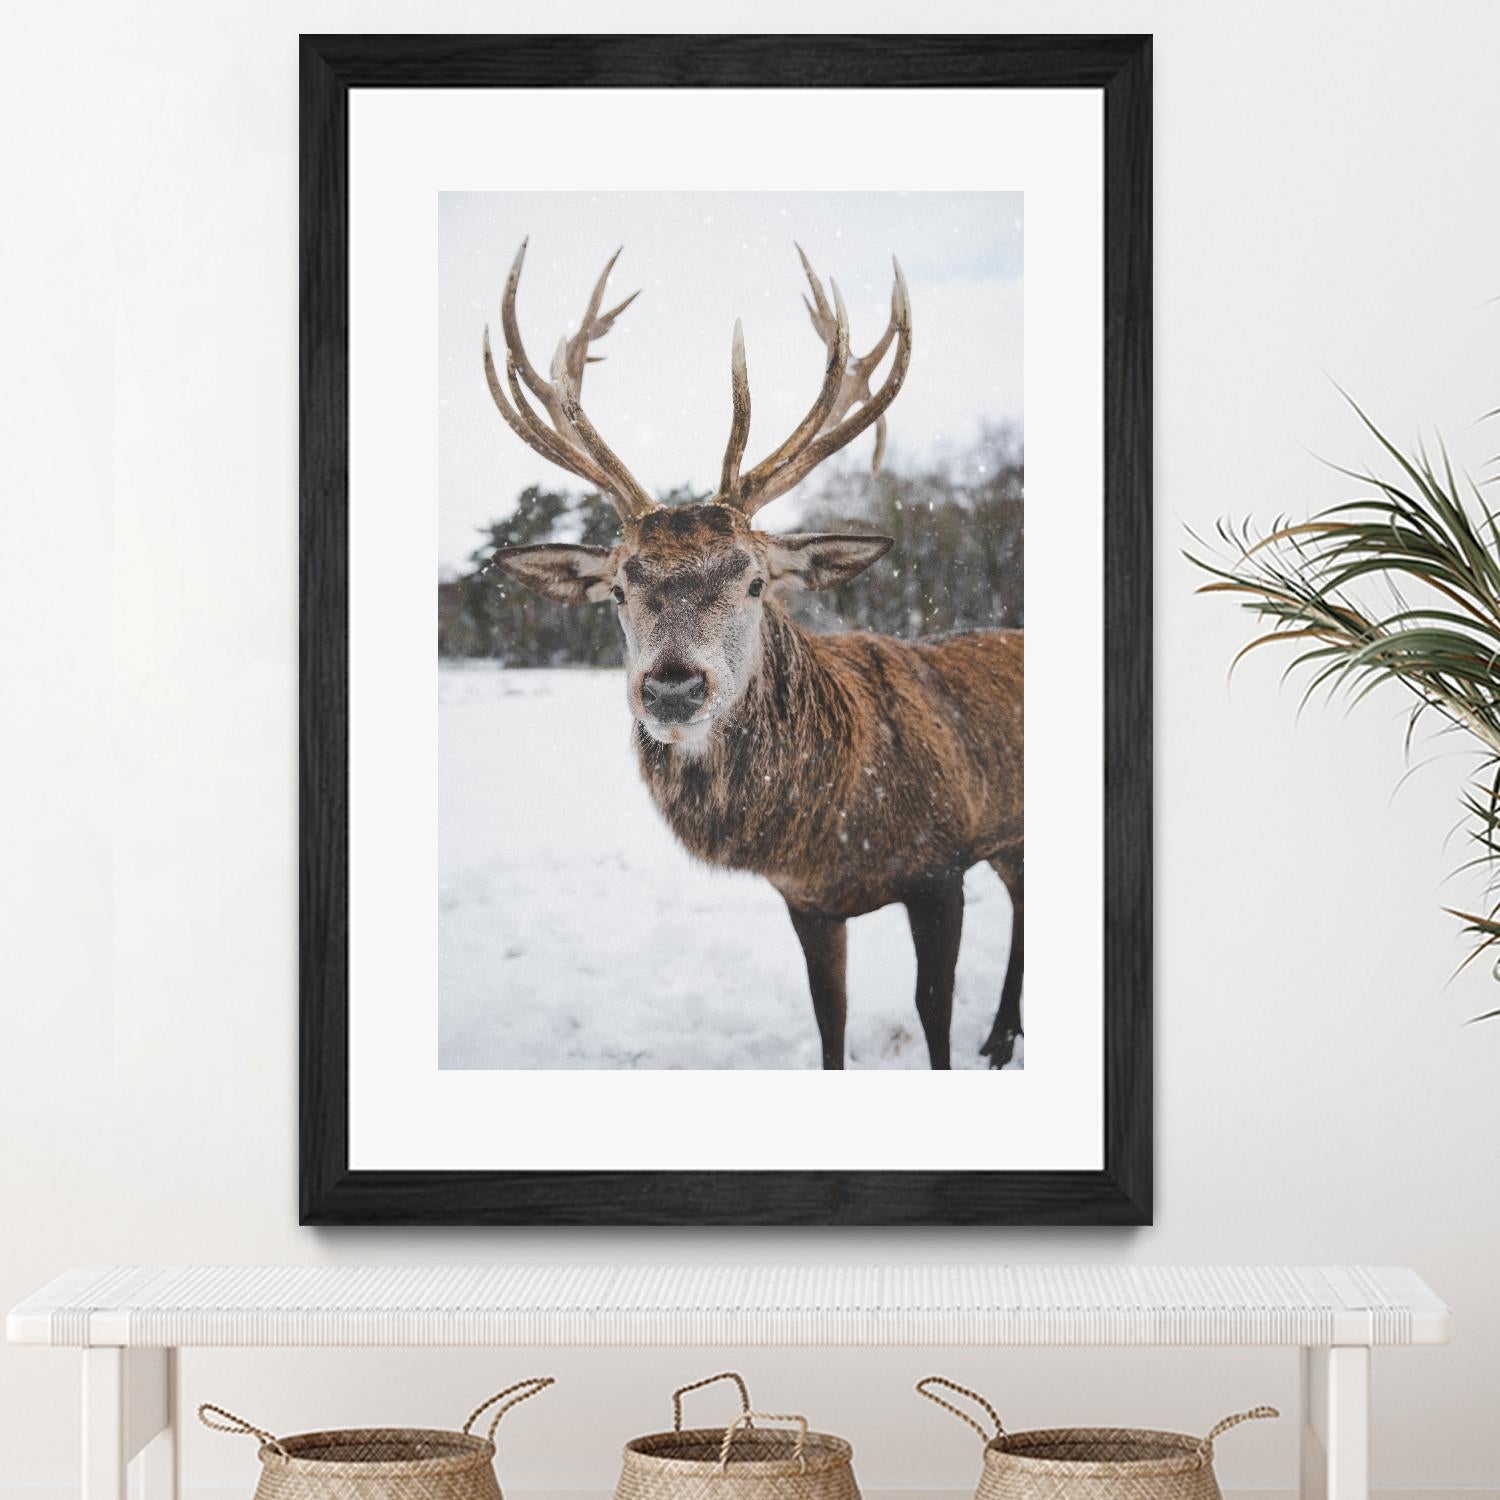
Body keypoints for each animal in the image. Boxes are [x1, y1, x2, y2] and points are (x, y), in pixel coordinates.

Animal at [481, 240, 1023, 1070]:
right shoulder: (805, 901)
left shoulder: (942, 865)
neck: (835, 828)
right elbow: (829, 1018)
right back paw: (1000, 1034)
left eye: (756, 580)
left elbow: (933, 1015)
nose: (673, 689)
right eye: (618, 588)